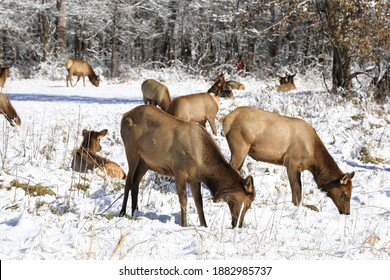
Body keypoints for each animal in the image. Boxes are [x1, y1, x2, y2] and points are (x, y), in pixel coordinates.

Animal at [119, 105, 254, 228]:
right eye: (247, 203)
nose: (239, 224)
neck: (202, 164)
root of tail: (124, 115)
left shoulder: (194, 178)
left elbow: (198, 201)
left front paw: (204, 225)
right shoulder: (179, 171)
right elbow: (183, 199)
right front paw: (184, 224)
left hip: (145, 161)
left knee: (136, 181)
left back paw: (135, 212)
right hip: (131, 150)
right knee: (129, 180)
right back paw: (122, 212)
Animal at [221, 106, 354, 215]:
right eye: (344, 194)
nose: (347, 212)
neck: (312, 159)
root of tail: (226, 119)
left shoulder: (299, 167)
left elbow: (299, 189)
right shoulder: (291, 162)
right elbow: (295, 188)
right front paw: (296, 205)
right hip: (240, 147)